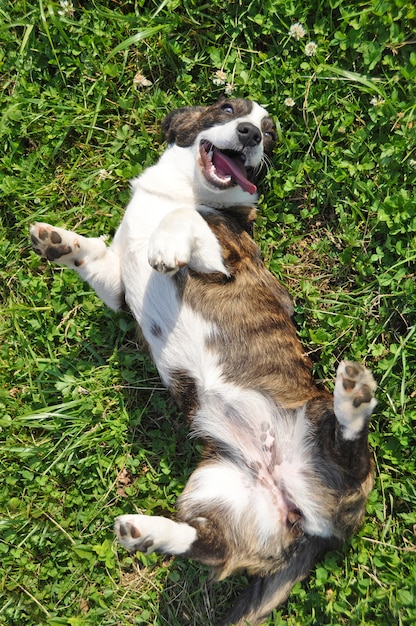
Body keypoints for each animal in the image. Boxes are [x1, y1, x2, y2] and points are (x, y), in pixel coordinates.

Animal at [30, 98, 376, 624]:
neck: (182, 190)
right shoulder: (116, 290)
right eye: (229, 107)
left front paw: (166, 244)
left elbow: (183, 221)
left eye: (269, 134)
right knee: (214, 548)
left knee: (350, 450)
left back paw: (354, 398)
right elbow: (94, 259)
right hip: (217, 488)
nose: (250, 133)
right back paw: (148, 533)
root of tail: (312, 526)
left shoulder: (224, 260)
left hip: (323, 435)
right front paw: (59, 242)